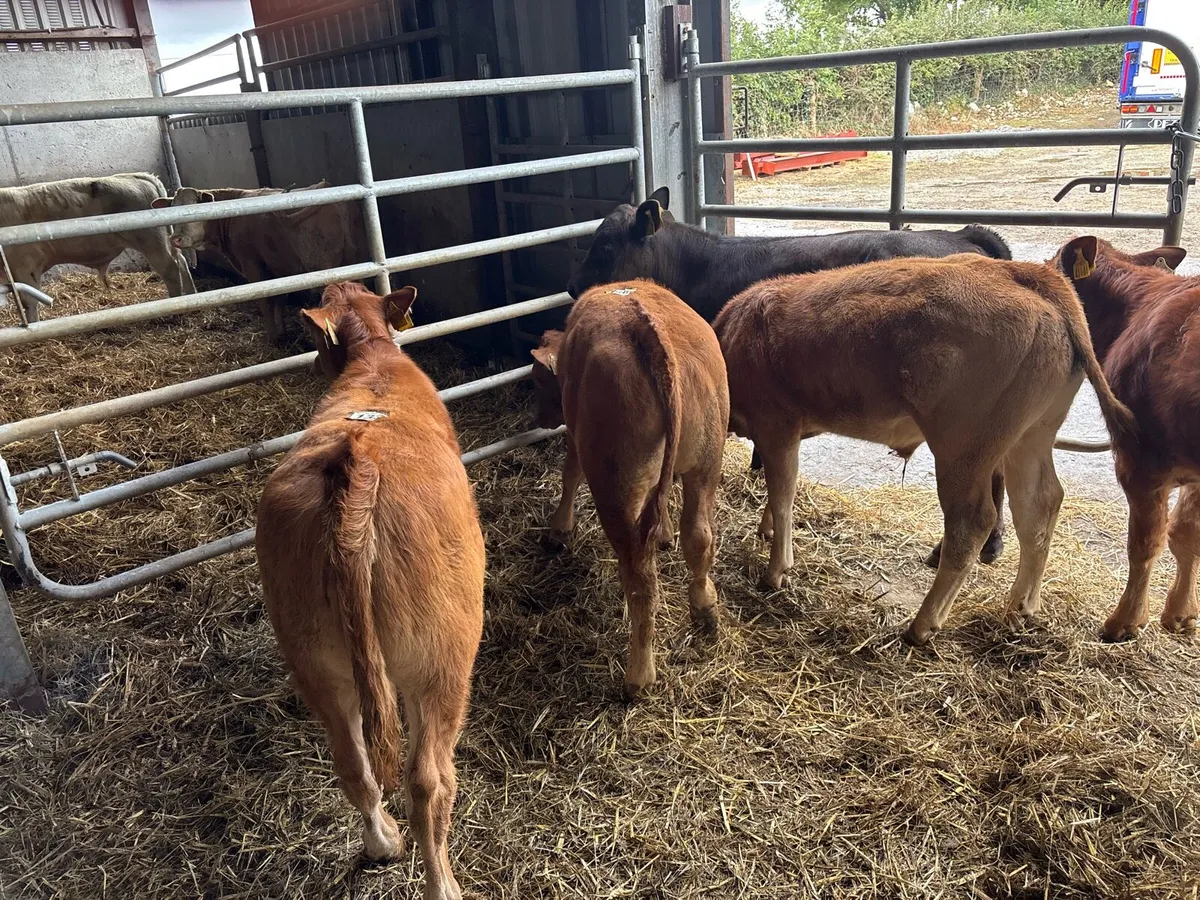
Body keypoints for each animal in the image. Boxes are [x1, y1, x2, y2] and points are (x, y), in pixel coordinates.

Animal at [0, 173, 196, 316]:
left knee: (170, 269)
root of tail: (140, 176)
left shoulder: (25, 266)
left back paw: (176, 308)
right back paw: (191, 296)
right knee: (181, 262)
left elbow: (29, 302)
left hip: (151, 241)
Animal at [151, 182, 366, 344]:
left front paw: (272, 338)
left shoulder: (253, 264)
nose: (175, 239)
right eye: (171, 210)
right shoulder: (277, 268)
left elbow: (265, 301)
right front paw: (281, 333)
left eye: (194, 210)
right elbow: (279, 299)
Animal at [255, 282, 483, 899]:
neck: (373, 358)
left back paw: (382, 843)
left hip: (313, 659)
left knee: (352, 763)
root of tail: (357, 466)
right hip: (442, 660)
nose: (313, 361)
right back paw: (443, 884)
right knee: (429, 780)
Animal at [530, 279, 730, 698]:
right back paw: (705, 608)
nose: (538, 419)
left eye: (539, 379)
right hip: (707, 461)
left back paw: (639, 675)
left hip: (615, 489)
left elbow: (569, 475)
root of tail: (648, 328)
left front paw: (558, 530)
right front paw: (665, 534)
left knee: (641, 580)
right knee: (699, 538)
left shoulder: (576, 438)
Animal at [711, 254, 1136, 644]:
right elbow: (778, 489)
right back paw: (1019, 607)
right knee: (1039, 508)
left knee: (972, 522)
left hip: (963, 451)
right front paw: (766, 530)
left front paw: (775, 570)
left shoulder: (777, 423)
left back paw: (923, 624)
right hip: (1030, 438)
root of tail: (1023, 273)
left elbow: (783, 491)